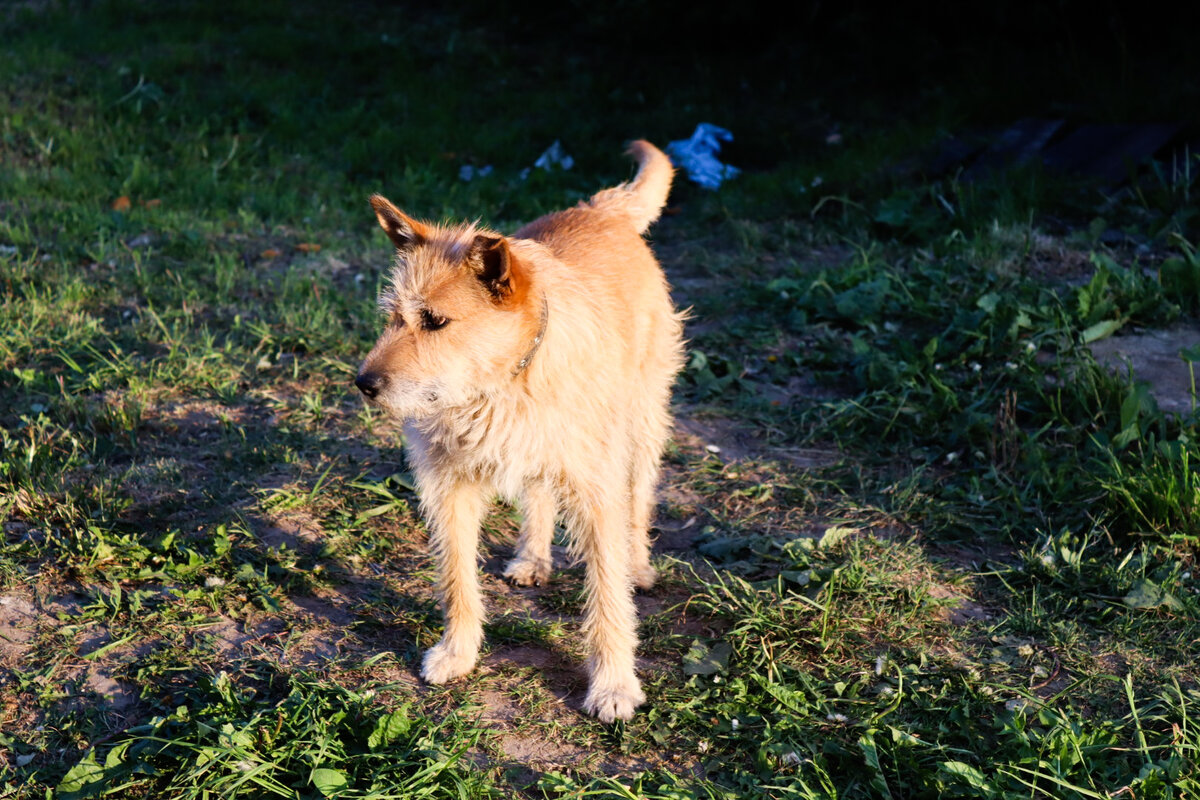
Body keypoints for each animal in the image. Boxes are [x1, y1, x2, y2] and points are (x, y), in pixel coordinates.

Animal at [355, 140, 686, 724]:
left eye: (435, 321)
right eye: (393, 316)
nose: (363, 383)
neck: (500, 387)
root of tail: (600, 210)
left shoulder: (597, 493)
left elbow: (608, 595)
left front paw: (614, 684)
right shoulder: (448, 490)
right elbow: (457, 579)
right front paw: (458, 652)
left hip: (644, 420)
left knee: (640, 495)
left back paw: (640, 564)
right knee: (538, 494)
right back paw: (533, 556)